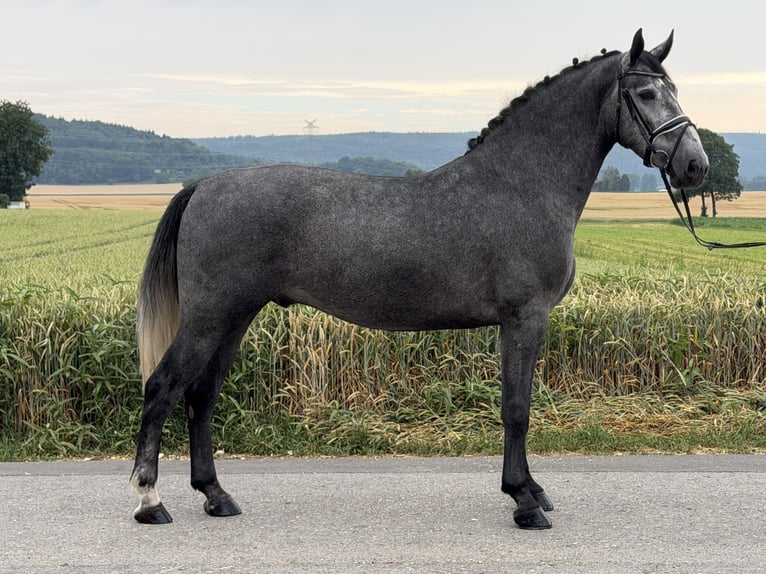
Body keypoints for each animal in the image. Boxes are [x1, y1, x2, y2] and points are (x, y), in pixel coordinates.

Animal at [130, 29, 708, 529]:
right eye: (647, 92)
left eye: (675, 89)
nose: (695, 166)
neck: (521, 185)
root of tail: (203, 186)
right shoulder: (524, 318)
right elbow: (516, 409)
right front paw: (524, 500)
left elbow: (518, 406)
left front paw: (533, 490)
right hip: (210, 317)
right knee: (162, 388)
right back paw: (150, 501)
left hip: (235, 318)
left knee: (201, 397)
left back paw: (216, 495)